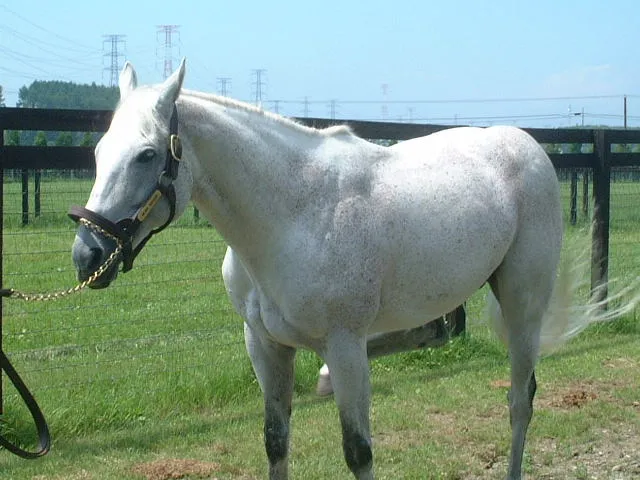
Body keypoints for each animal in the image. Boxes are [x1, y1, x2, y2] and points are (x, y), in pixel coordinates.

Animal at [70, 59, 592, 480]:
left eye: (147, 154)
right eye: (97, 151)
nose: (87, 257)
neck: (293, 214)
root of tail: (527, 145)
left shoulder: (344, 345)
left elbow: (358, 451)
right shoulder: (265, 345)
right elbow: (275, 441)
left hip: (522, 304)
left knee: (520, 400)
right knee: (438, 334)